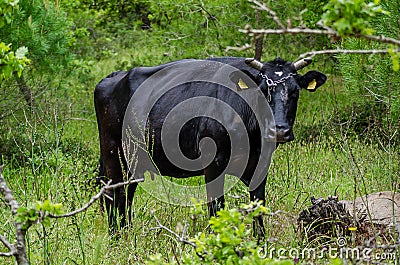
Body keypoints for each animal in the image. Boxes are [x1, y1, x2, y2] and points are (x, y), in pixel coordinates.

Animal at [95, 55, 326, 231]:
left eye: (295, 92)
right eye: (262, 91)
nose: (279, 130)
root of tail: (114, 77)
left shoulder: (261, 166)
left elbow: (258, 208)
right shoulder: (213, 165)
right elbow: (216, 209)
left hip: (134, 161)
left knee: (126, 194)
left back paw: (127, 232)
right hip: (111, 151)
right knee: (112, 193)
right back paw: (116, 236)